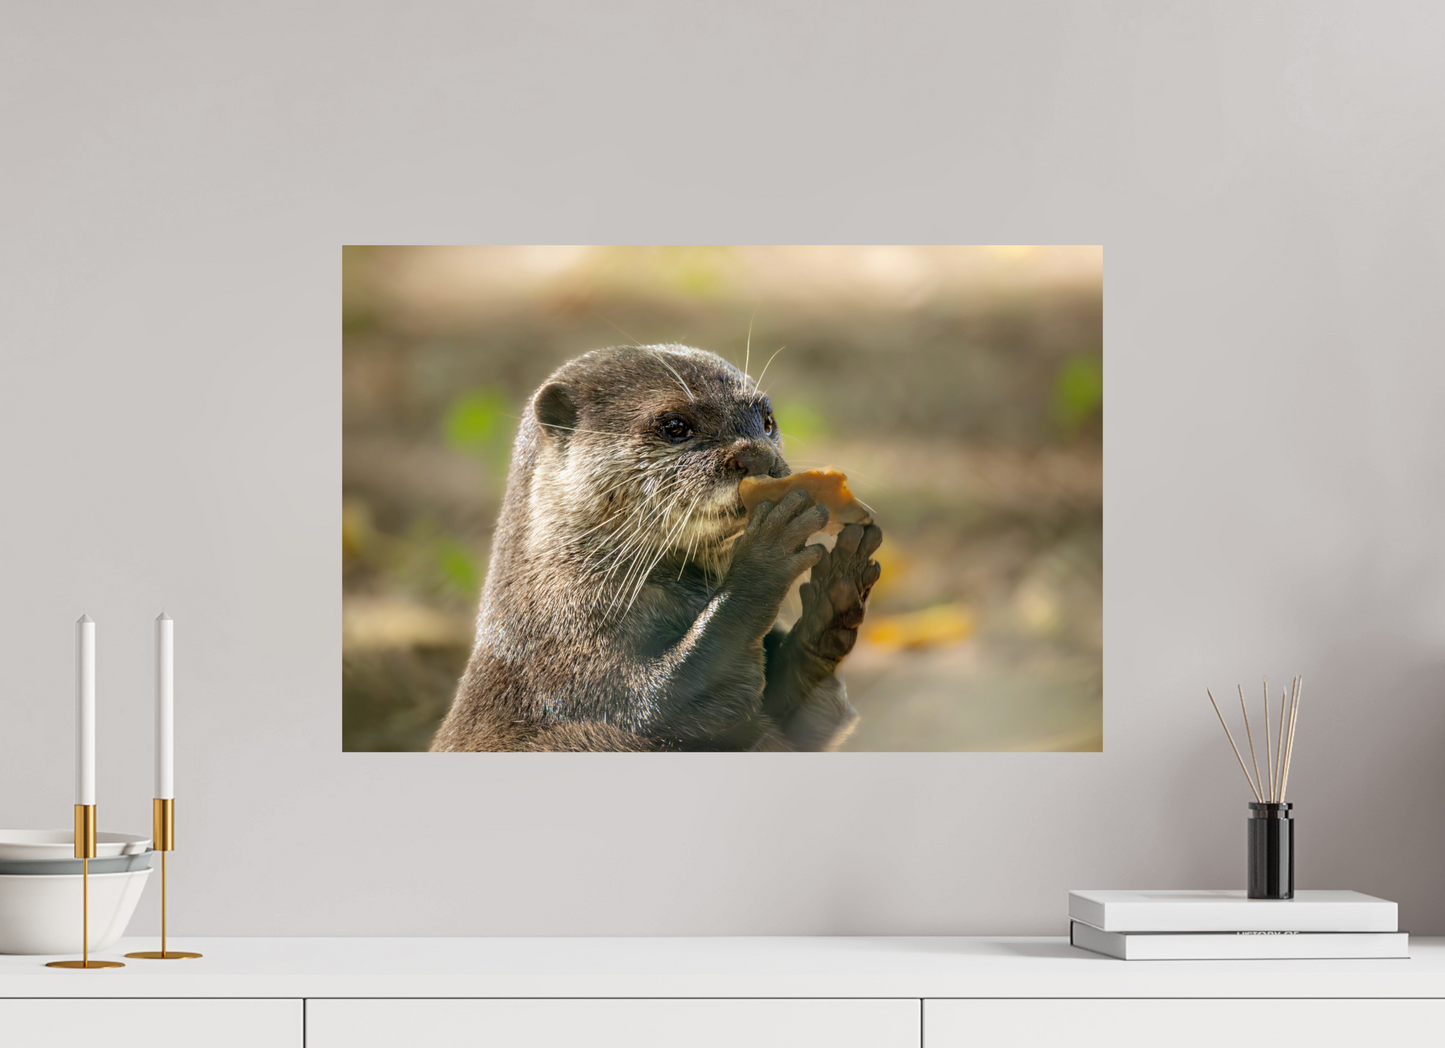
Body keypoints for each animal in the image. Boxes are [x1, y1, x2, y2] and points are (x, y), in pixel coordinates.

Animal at [430, 344, 883, 752]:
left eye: (768, 420)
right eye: (675, 425)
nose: (758, 456)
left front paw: (836, 591)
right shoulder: (569, 665)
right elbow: (665, 701)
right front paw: (767, 552)